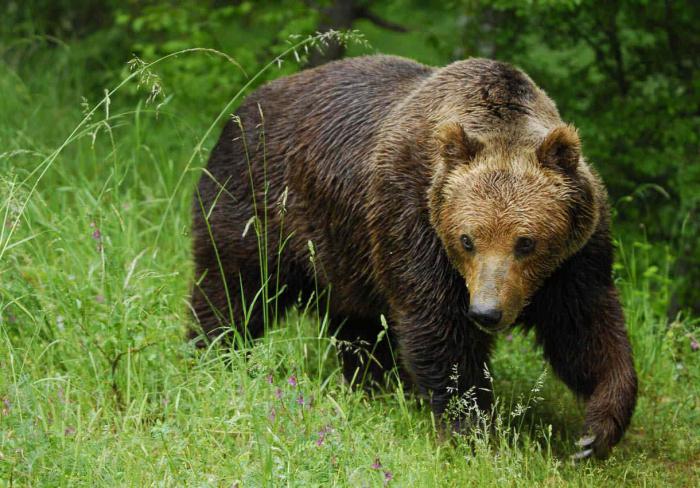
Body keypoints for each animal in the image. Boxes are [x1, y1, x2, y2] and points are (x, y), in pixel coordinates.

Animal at [189, 55, 636, 460]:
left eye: (525, 242)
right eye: (467, 239)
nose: (487, 312)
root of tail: (241, 107)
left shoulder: (574, 258)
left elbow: (583, 329)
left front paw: (596, 430)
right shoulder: (413, 220)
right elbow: (438, 328)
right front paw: (472, 430)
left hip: (346, 253)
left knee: (358, 324)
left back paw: (369, 384)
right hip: (261, 204)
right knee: (234, 287)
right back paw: (215, 353)